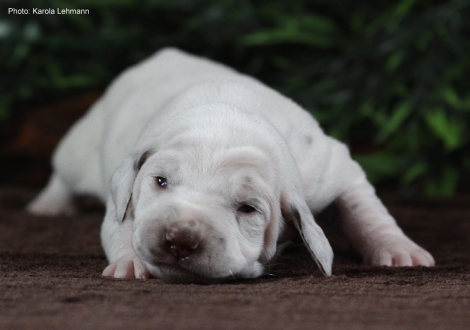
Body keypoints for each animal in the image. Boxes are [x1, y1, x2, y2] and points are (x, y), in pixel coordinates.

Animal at [28, 47, 434, 282]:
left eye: (248, 209)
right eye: (160, 182)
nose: (179, 239)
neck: (230, 119)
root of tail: (163, 54)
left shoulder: (332, 166)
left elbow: (364, 208)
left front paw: (400, 250)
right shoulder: (129, 178)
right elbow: (123, 221)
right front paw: (132, 263)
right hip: (82, 149)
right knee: (64, 172)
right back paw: (49, 205)